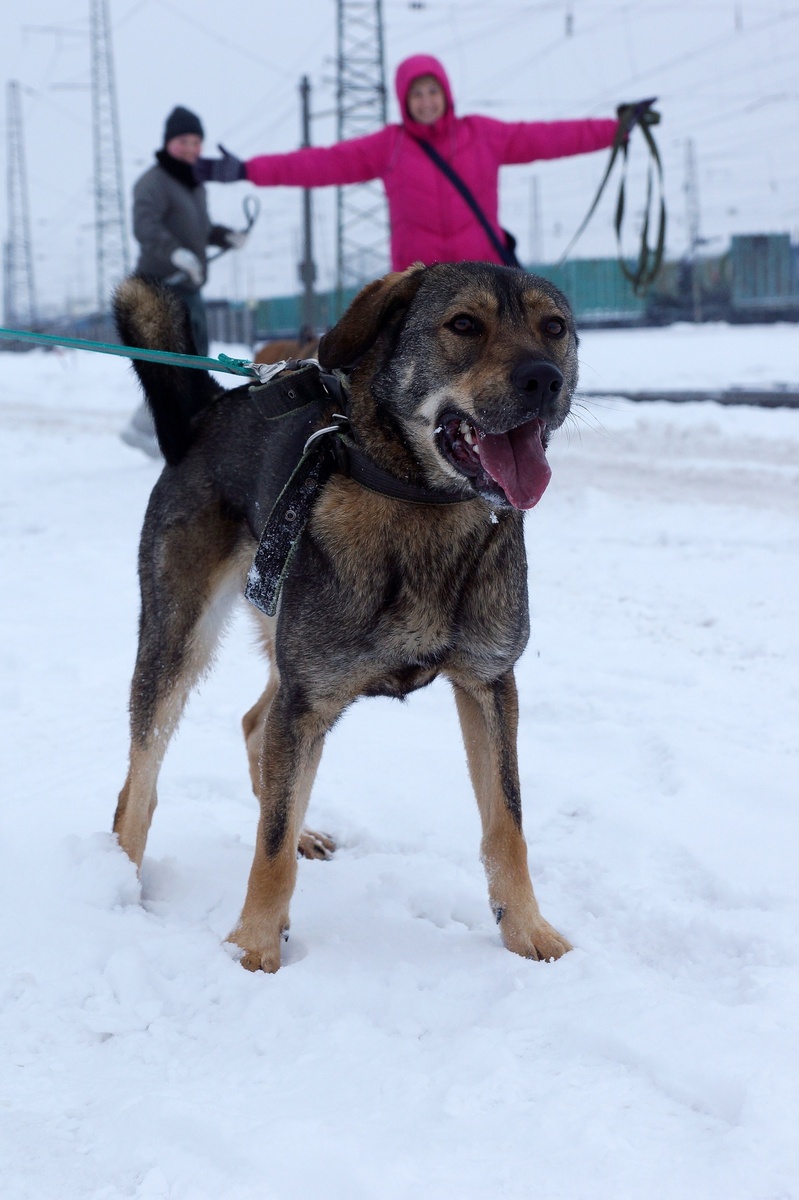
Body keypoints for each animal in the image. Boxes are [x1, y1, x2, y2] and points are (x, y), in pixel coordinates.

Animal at [110, 265, 573, 974]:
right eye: (464, 324)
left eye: (555, 328)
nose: (544, 379)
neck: (422, 504)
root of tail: (206, 412)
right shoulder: (308, 700)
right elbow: (268, 847)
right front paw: (254, 949)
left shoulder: (489, 682)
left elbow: (507, 823)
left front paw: (526, 930)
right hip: (179, 644)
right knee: (141, 780)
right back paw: (119, 884)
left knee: (255, 727)